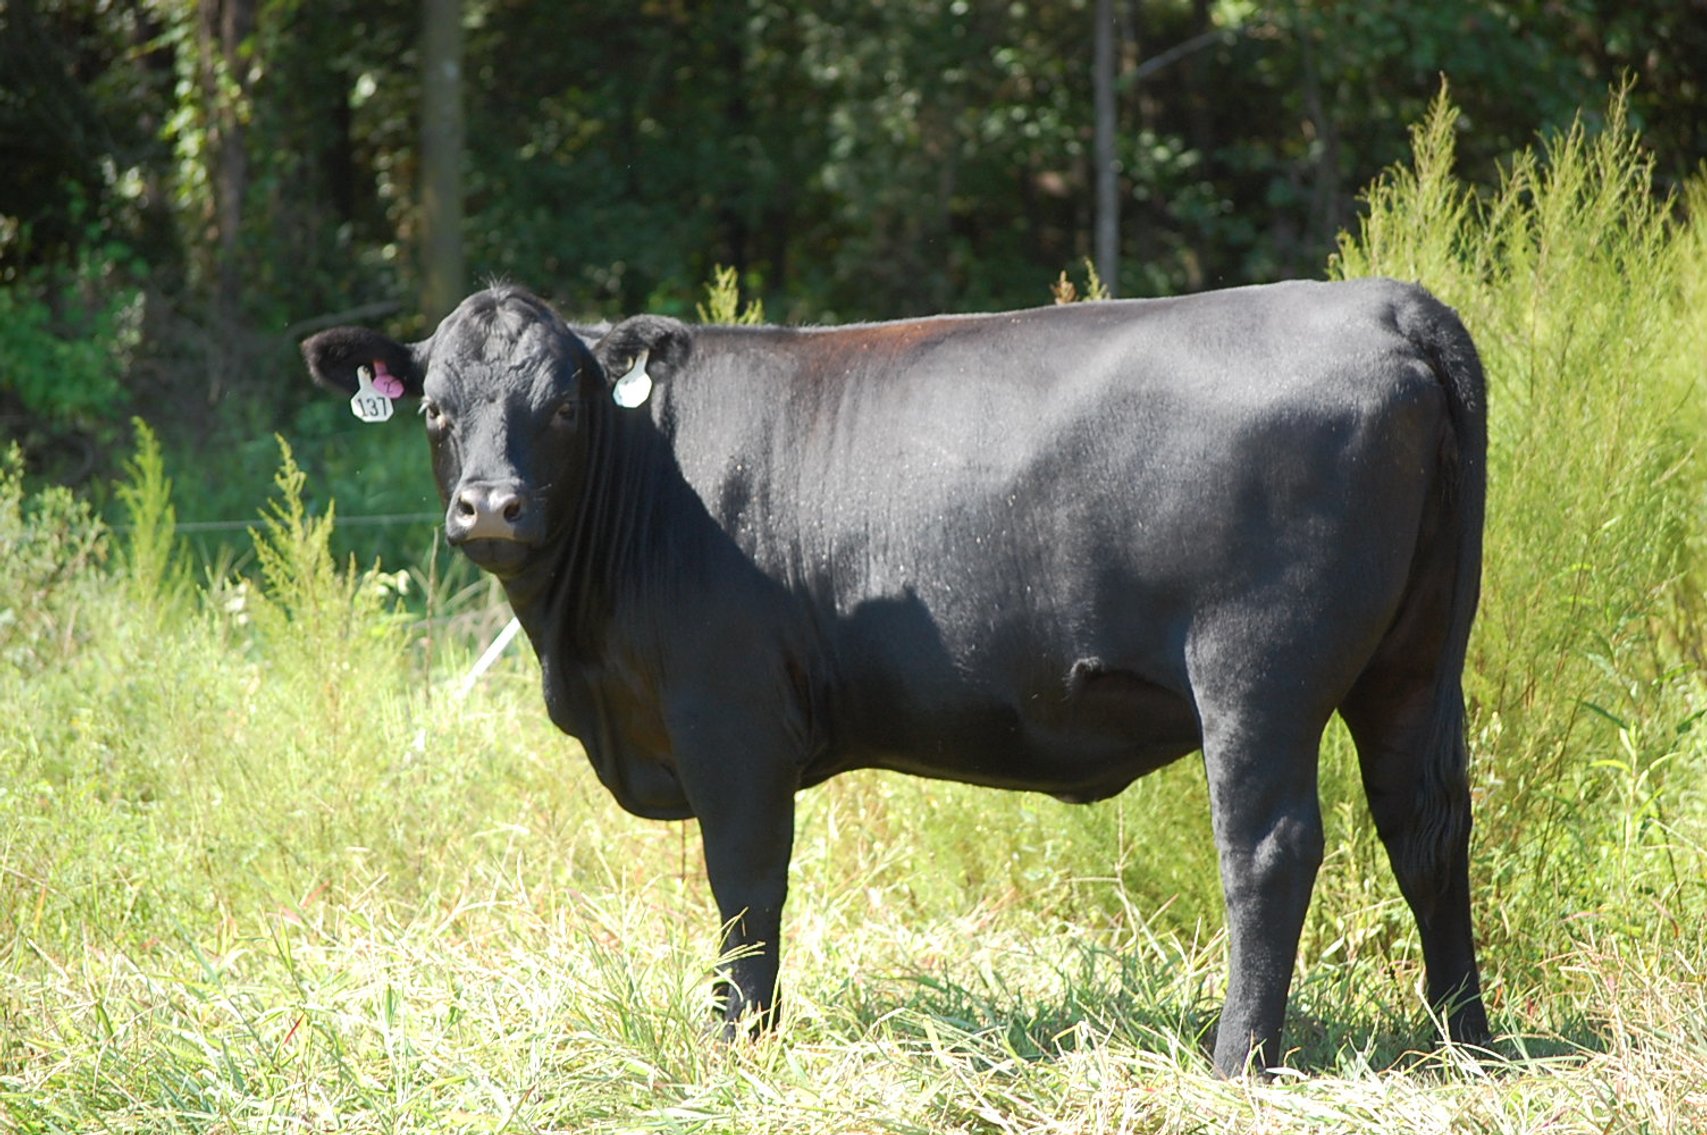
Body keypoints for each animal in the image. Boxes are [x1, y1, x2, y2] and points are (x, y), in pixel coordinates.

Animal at [302, 277, 1491, 1074]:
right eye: (435, 408)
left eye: (562, 404)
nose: (491, 505)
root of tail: (1381, 302)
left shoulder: (728, 716)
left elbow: (745, 885)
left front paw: (734, 1040)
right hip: (1417, 658)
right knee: (1426, 825)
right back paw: (1462, 1039)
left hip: (1257, 669)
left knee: (1270, 848)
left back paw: (1238, 1058)